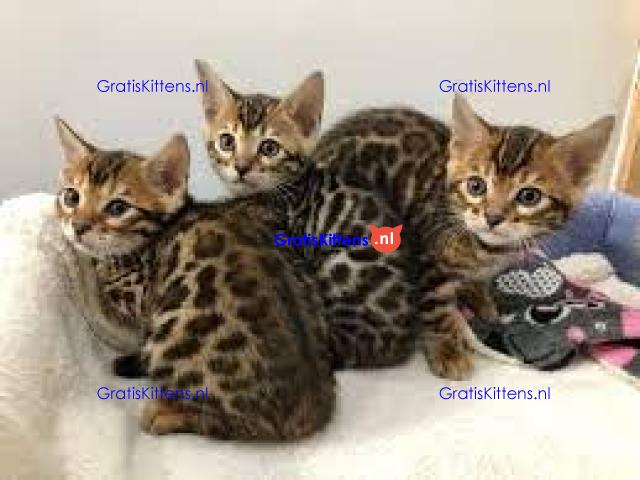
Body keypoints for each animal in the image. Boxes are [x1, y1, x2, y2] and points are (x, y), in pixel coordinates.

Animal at [54, 118, 334, 439]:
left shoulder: (133, 314)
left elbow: (96, 300)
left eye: (117, 208)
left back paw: (163, 415)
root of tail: (312, 407)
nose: (77, 226)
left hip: (173, 334)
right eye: (71, 197)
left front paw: (78, 261)